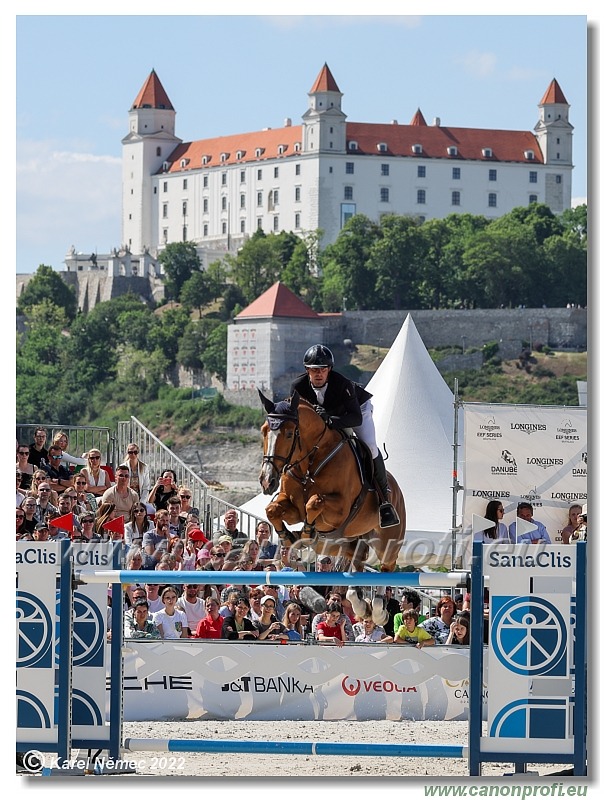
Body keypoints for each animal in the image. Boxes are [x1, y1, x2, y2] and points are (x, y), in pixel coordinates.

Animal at [258, 390, 406, 572]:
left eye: (289, 434)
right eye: (264, 431)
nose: (267, 481)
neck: (309, 465)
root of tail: (398, 490)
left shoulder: (340, 510)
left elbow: (314, 502)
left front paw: (306, 534)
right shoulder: (293, 507)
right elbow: (272, 509)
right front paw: (288, 537)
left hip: (387, 544)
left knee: (388, 564)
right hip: (341, 543)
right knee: (357, 557)